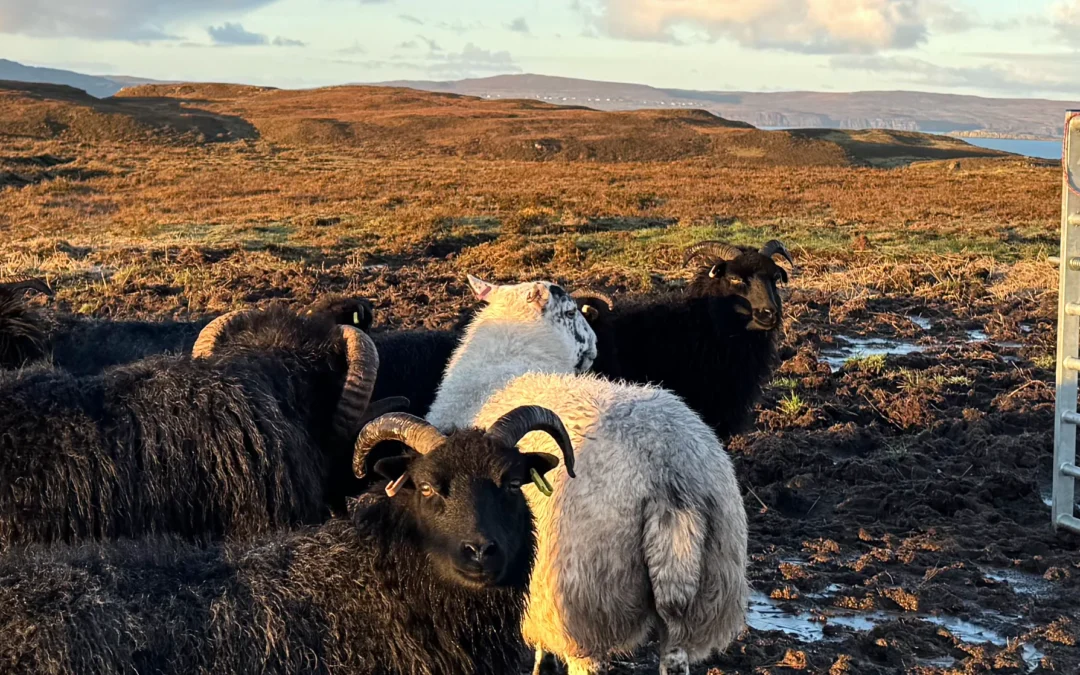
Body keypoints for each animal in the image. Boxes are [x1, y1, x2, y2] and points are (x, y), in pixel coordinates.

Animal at [427, 275, 748, 675]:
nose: (595, 345)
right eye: (570, 313)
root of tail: (668, 473)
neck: (511, 362)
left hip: (585, 599)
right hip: (708, 592)